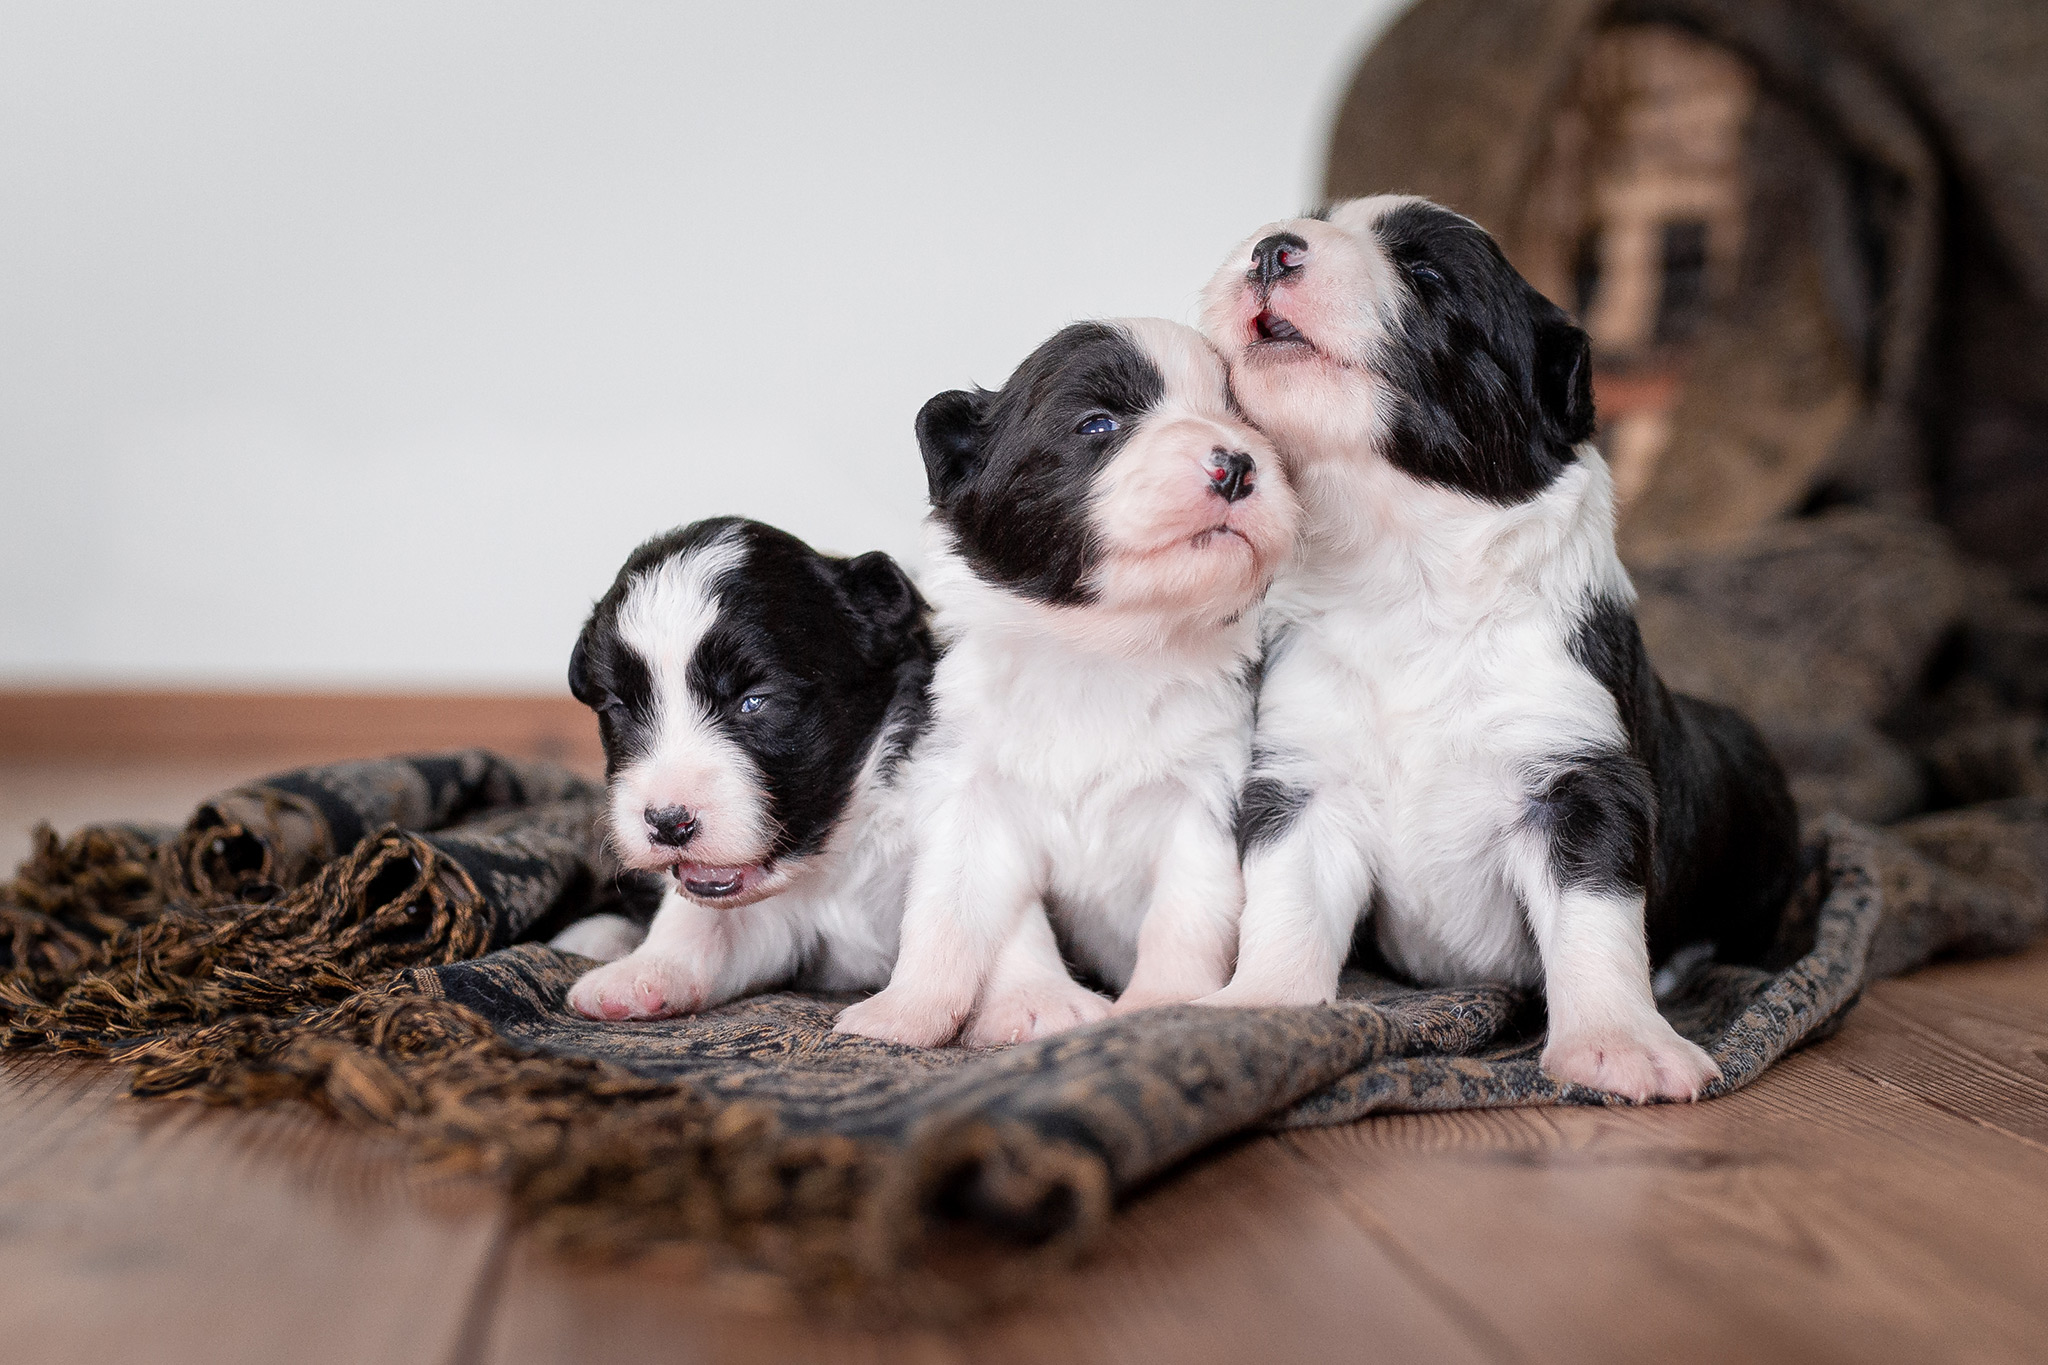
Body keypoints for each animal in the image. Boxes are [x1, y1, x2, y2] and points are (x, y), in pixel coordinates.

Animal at [565, 517, 937, 1019]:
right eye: (618, 707)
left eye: (754, 702)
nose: (668, 822)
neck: (839, 847)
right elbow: (703, 924)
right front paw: (644, 971)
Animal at [831, 317, 1294, 1047]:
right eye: (1098, 424)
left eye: (1245, 420)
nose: (1239, 463)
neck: (1102, 652)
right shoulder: (969, 792)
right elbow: (954, 909)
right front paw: (920, 1010)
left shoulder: (1206, 795)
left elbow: (1187, 911)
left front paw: (1164, 1003)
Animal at [1196, 197, 1802, 1105]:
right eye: (1309, 221)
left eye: (1428, 275)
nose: (1273, 249)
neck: (1399, 571)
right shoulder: (1304, 776)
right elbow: (1287, 902)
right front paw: (1259, 1005)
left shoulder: (1579, 780)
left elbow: (1595, 921)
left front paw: (1621, 1045)